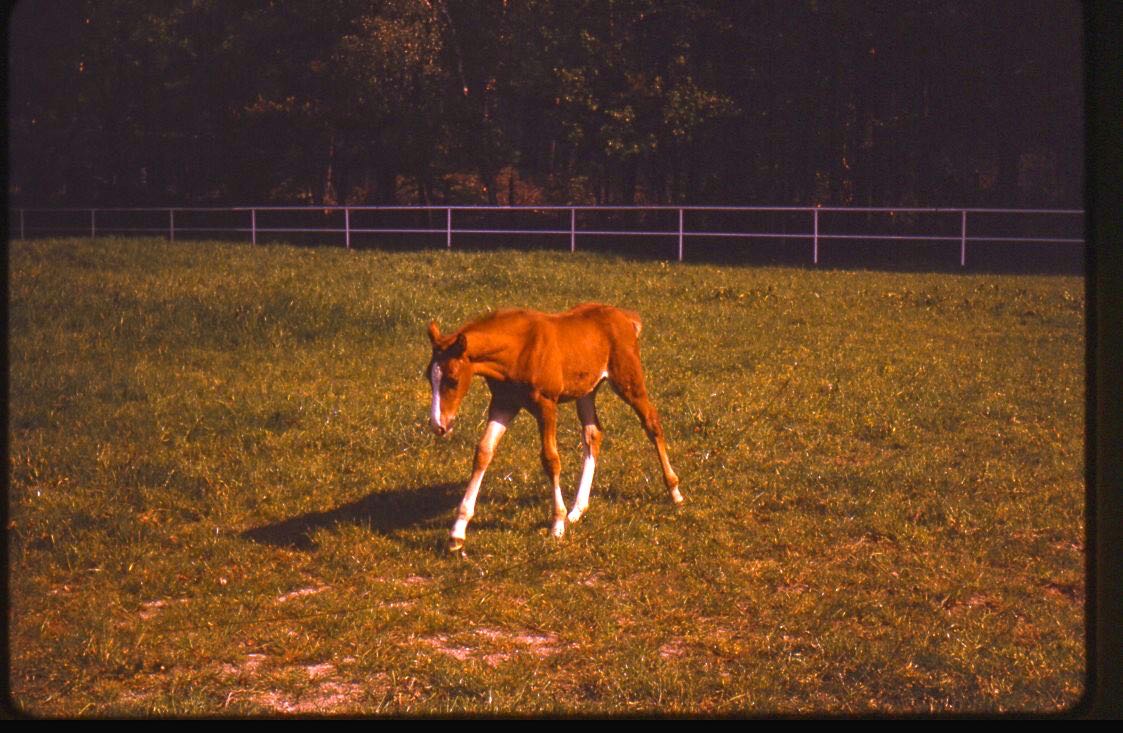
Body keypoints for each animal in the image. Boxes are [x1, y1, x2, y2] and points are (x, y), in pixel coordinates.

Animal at [424, 300, 678, 547]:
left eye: (452, 380)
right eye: (429, 377)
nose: (438, 425)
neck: (519, 349)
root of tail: (625, 317)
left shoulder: (546, 406)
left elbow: (550, 460)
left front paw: (556, 525)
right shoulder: (503, 403)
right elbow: (483, 452)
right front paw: (457, 532)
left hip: (628, 381)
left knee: (652, 424)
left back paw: (675, 491)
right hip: (586, 390)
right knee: (593, 435)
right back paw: (577, 510)